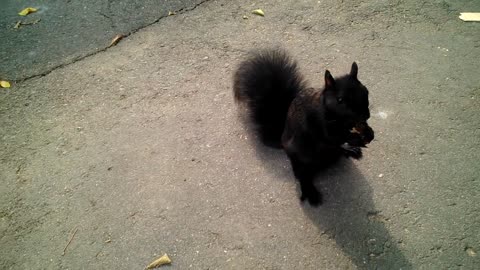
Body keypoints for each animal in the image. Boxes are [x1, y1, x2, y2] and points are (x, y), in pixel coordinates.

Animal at [234, 48, 374, 206]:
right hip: (300, 158)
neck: (341, 120)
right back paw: (310, 191)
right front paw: (356, 138)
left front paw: (368, 132)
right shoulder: (316, 122)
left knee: (338, 149)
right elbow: (331, 136)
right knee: (302, 175)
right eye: (340, 100)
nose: (366, 115)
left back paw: (350, 149)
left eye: (365, 90)